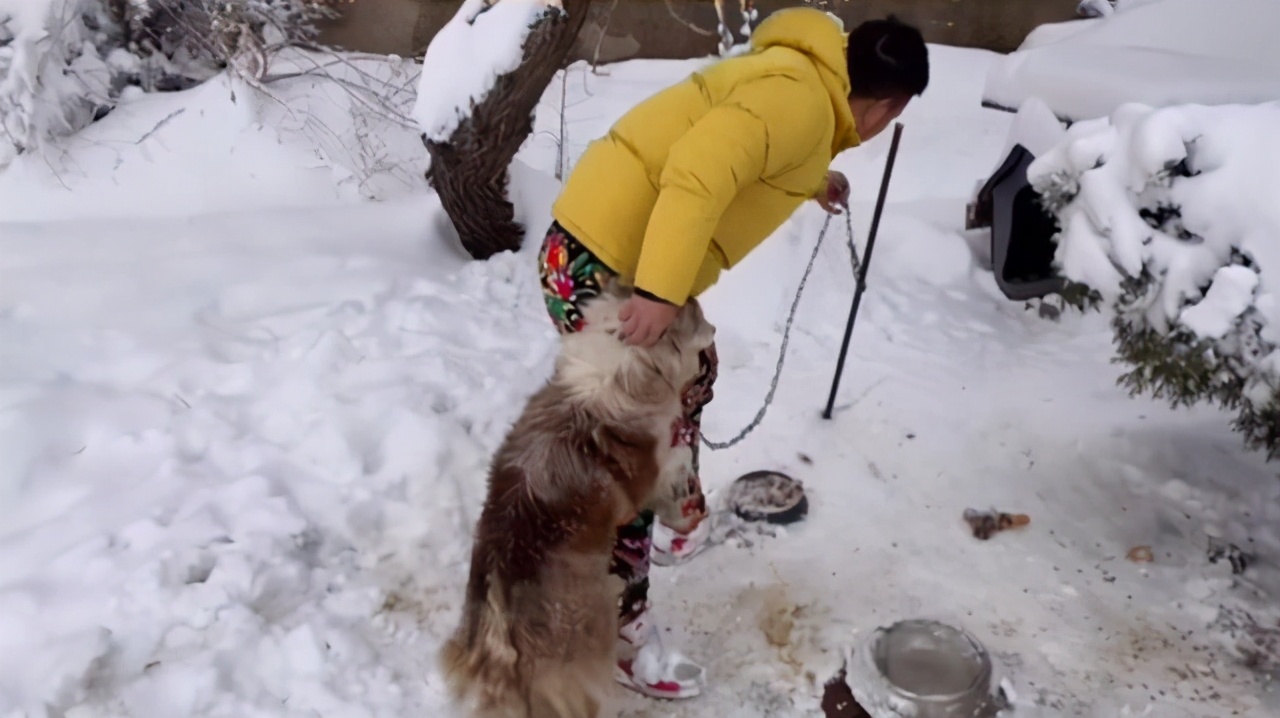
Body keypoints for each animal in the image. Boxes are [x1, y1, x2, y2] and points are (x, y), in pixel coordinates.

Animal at [440, 282, 716, 711]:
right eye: (698, 317)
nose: (714, 327)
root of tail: (498, 629)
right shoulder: (657, 468)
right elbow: (677, 467)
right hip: (589, 624)